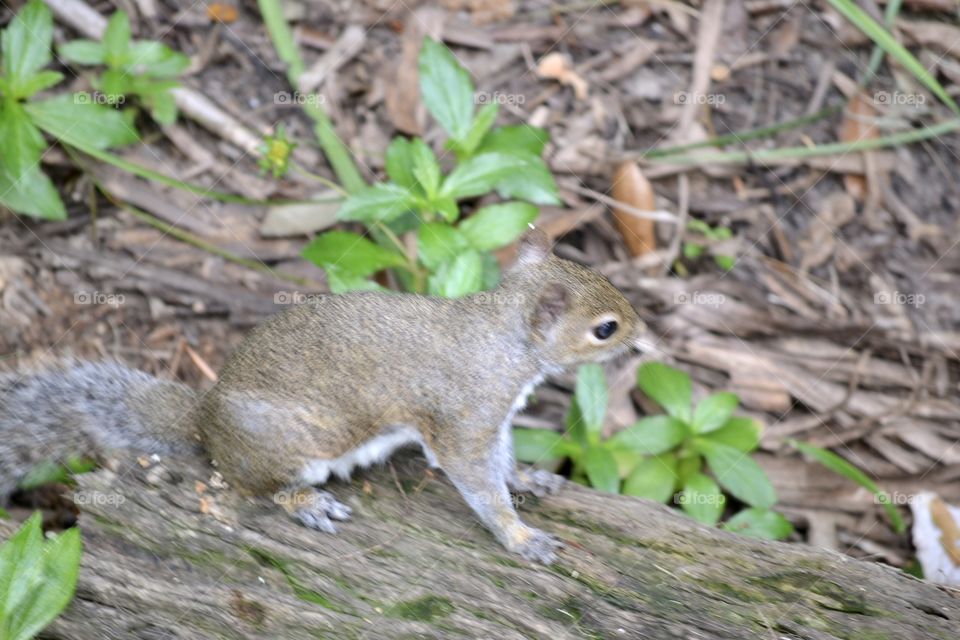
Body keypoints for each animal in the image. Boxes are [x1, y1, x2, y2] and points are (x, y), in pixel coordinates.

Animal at [0, 231, 646, 563]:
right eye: (604, 329)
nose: (644, 336)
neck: (505, 339)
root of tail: (205, 421)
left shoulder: (497, 419)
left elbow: (504, 462)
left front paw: (530, 479)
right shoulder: (464, 418)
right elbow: (477, 480)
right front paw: (520, 537)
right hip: (298, 444)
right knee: (261, 488)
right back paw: (306, 503)